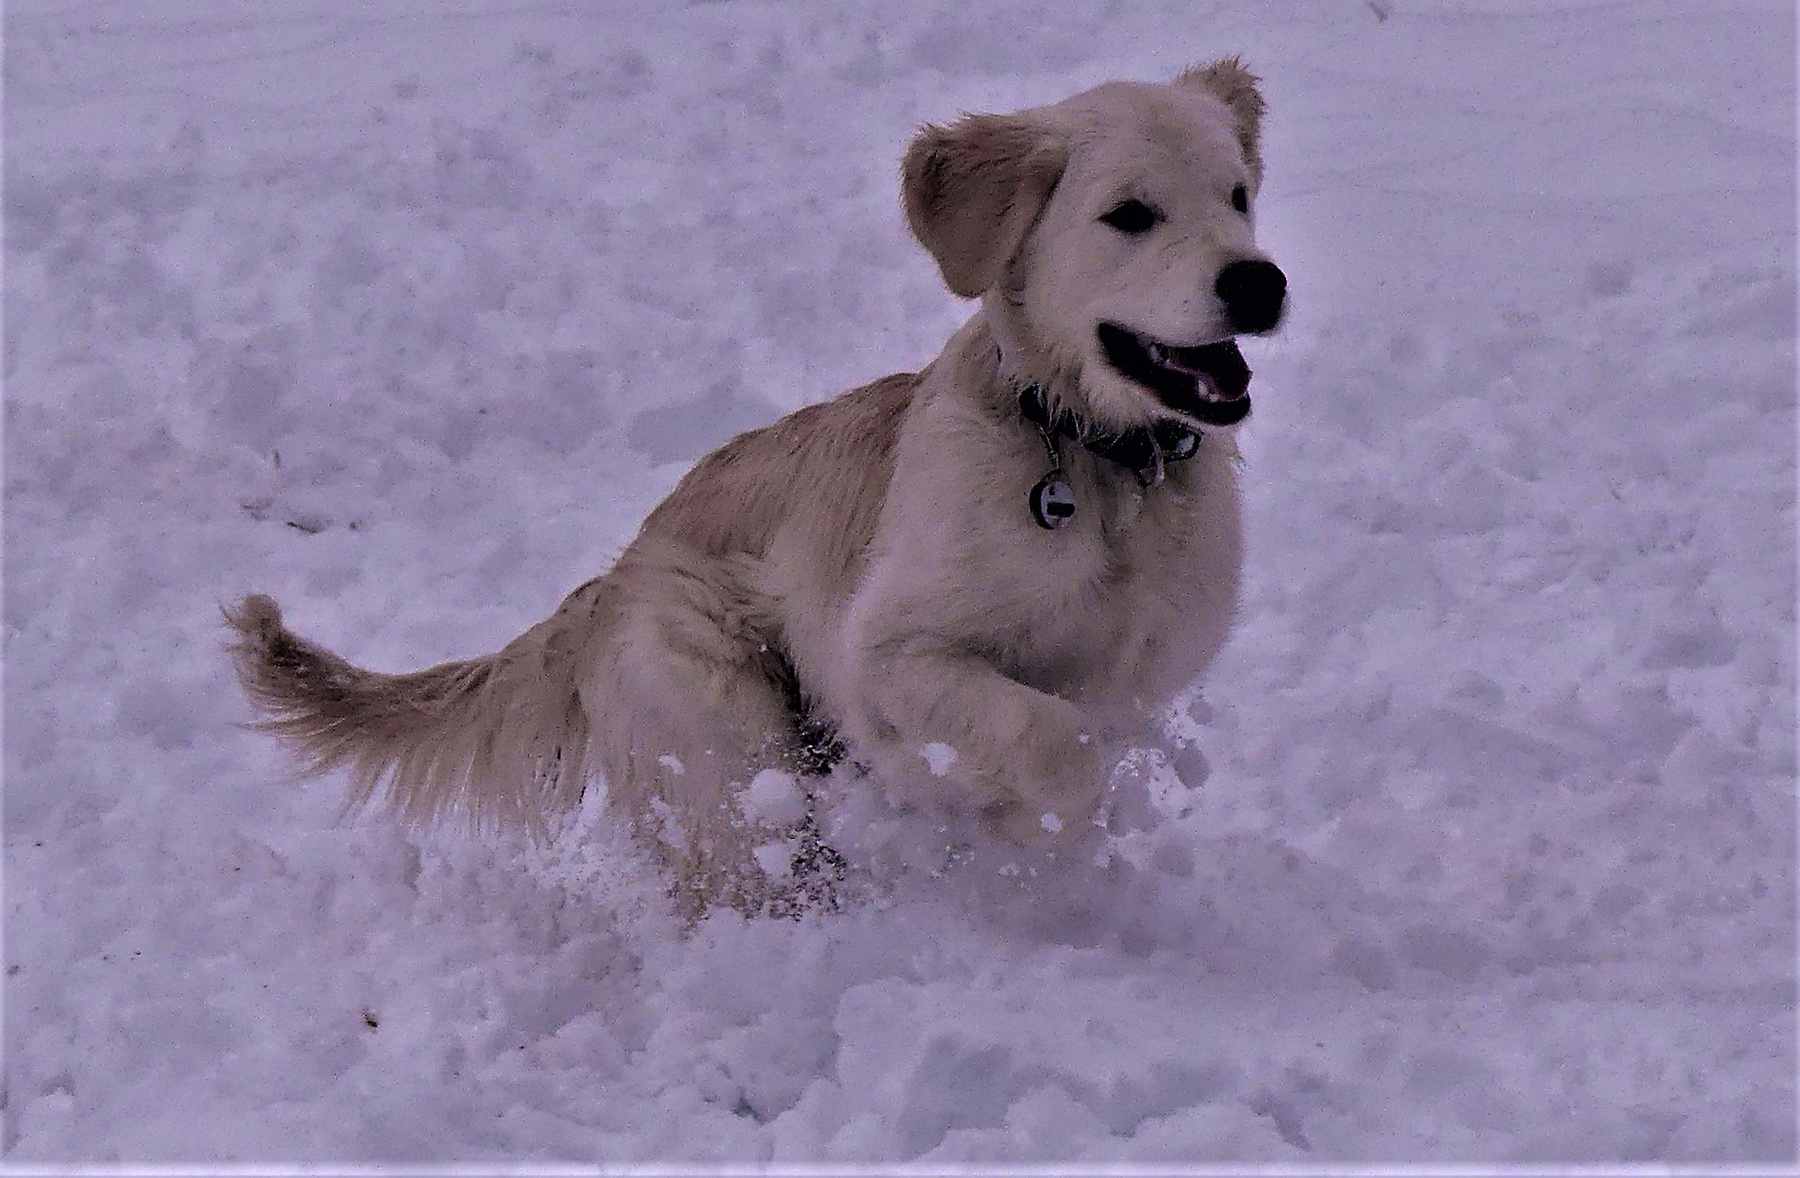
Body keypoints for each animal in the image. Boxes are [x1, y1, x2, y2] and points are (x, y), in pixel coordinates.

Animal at [227, 59, 1286, 917]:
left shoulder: (1142, 676)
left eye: (1238, 196)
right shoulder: (885, 655)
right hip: (730, 741)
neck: (1102, 465)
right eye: (1130, 214)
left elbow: (1083, 740)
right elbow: (1052, 741)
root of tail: (608, 584)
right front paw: (1021, 826)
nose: (1261, 282)